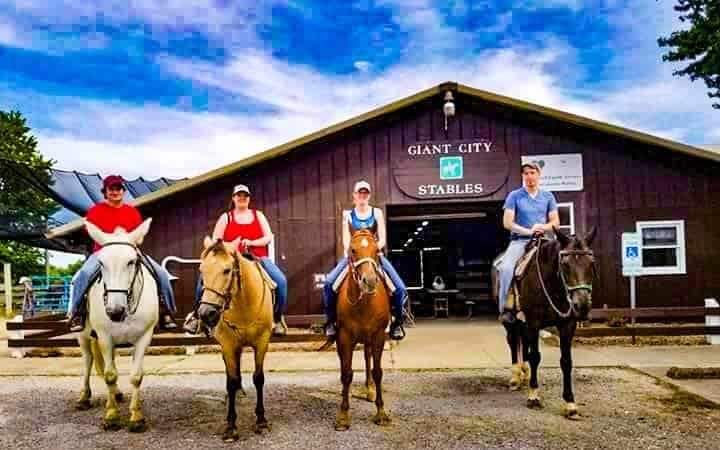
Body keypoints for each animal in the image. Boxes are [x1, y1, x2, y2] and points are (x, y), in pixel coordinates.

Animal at [75, 219, 160, 432]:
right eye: (101, 263)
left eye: (131, 261)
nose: (115, 311)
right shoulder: (105, 337)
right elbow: (110, 375)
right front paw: (112, 416)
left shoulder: (143, 338)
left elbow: (136, 376)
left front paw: (136, 417)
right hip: (83, 337)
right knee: (87, 361)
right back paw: (84, 397)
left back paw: (117, 395)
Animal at [195, 237, 274, 442]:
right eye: (202, 271)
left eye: (227, 270)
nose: (206, 313)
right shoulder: (228, 345)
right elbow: (231, 381)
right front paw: (231, 426)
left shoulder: (262, 342)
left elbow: (258, 378)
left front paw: (261, 421)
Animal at [324, 230, 394, 430]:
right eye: (353, 250)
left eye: (376, 250)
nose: (369, 281)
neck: (364, 303)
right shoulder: (345, 337)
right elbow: (347, 373)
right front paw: (343, 416)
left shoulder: (378, 336)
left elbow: (378, 372)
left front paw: (381, 413)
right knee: (345, 366)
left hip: (368, 340)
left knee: (368, 359)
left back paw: (369, 389)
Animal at [500, 227, 596, 420]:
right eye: (565, 264)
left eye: (591, 263)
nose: (582, 305)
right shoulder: (534, 321)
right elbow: (535, 356)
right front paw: (534, 396)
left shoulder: (567, 325)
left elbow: (566, 361)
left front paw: (570, 404)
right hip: (513, 321)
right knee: (513, 341)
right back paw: (515, 378)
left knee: (523, 343)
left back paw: (524, 374)